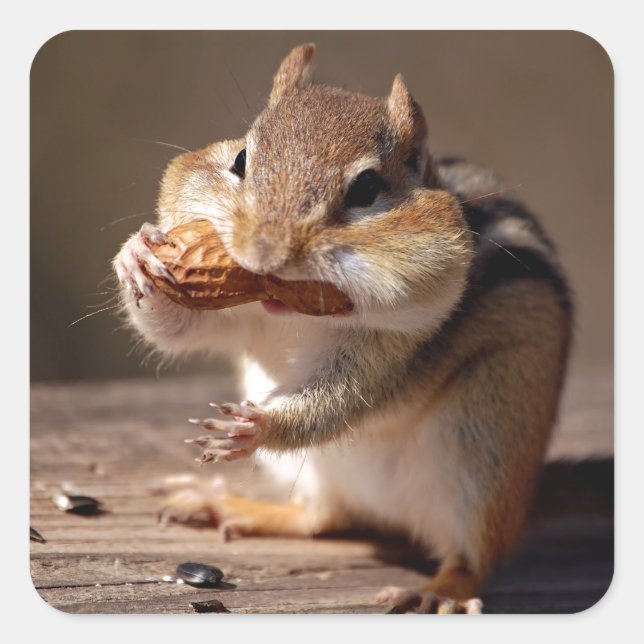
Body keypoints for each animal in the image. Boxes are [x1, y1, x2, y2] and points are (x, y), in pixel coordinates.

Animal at [113, 43, 572, 613]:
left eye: (367, 189)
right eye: (241, 160)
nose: (263, 256)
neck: (291, 313)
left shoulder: (395, 343)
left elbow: (343, 399)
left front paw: (259, 427)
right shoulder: (232, 309)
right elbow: (177, 331)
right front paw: (137, 254)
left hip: (486, 448)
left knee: (471, 557)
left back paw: (435, 591)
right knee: (322, 517)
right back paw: (225, 503)